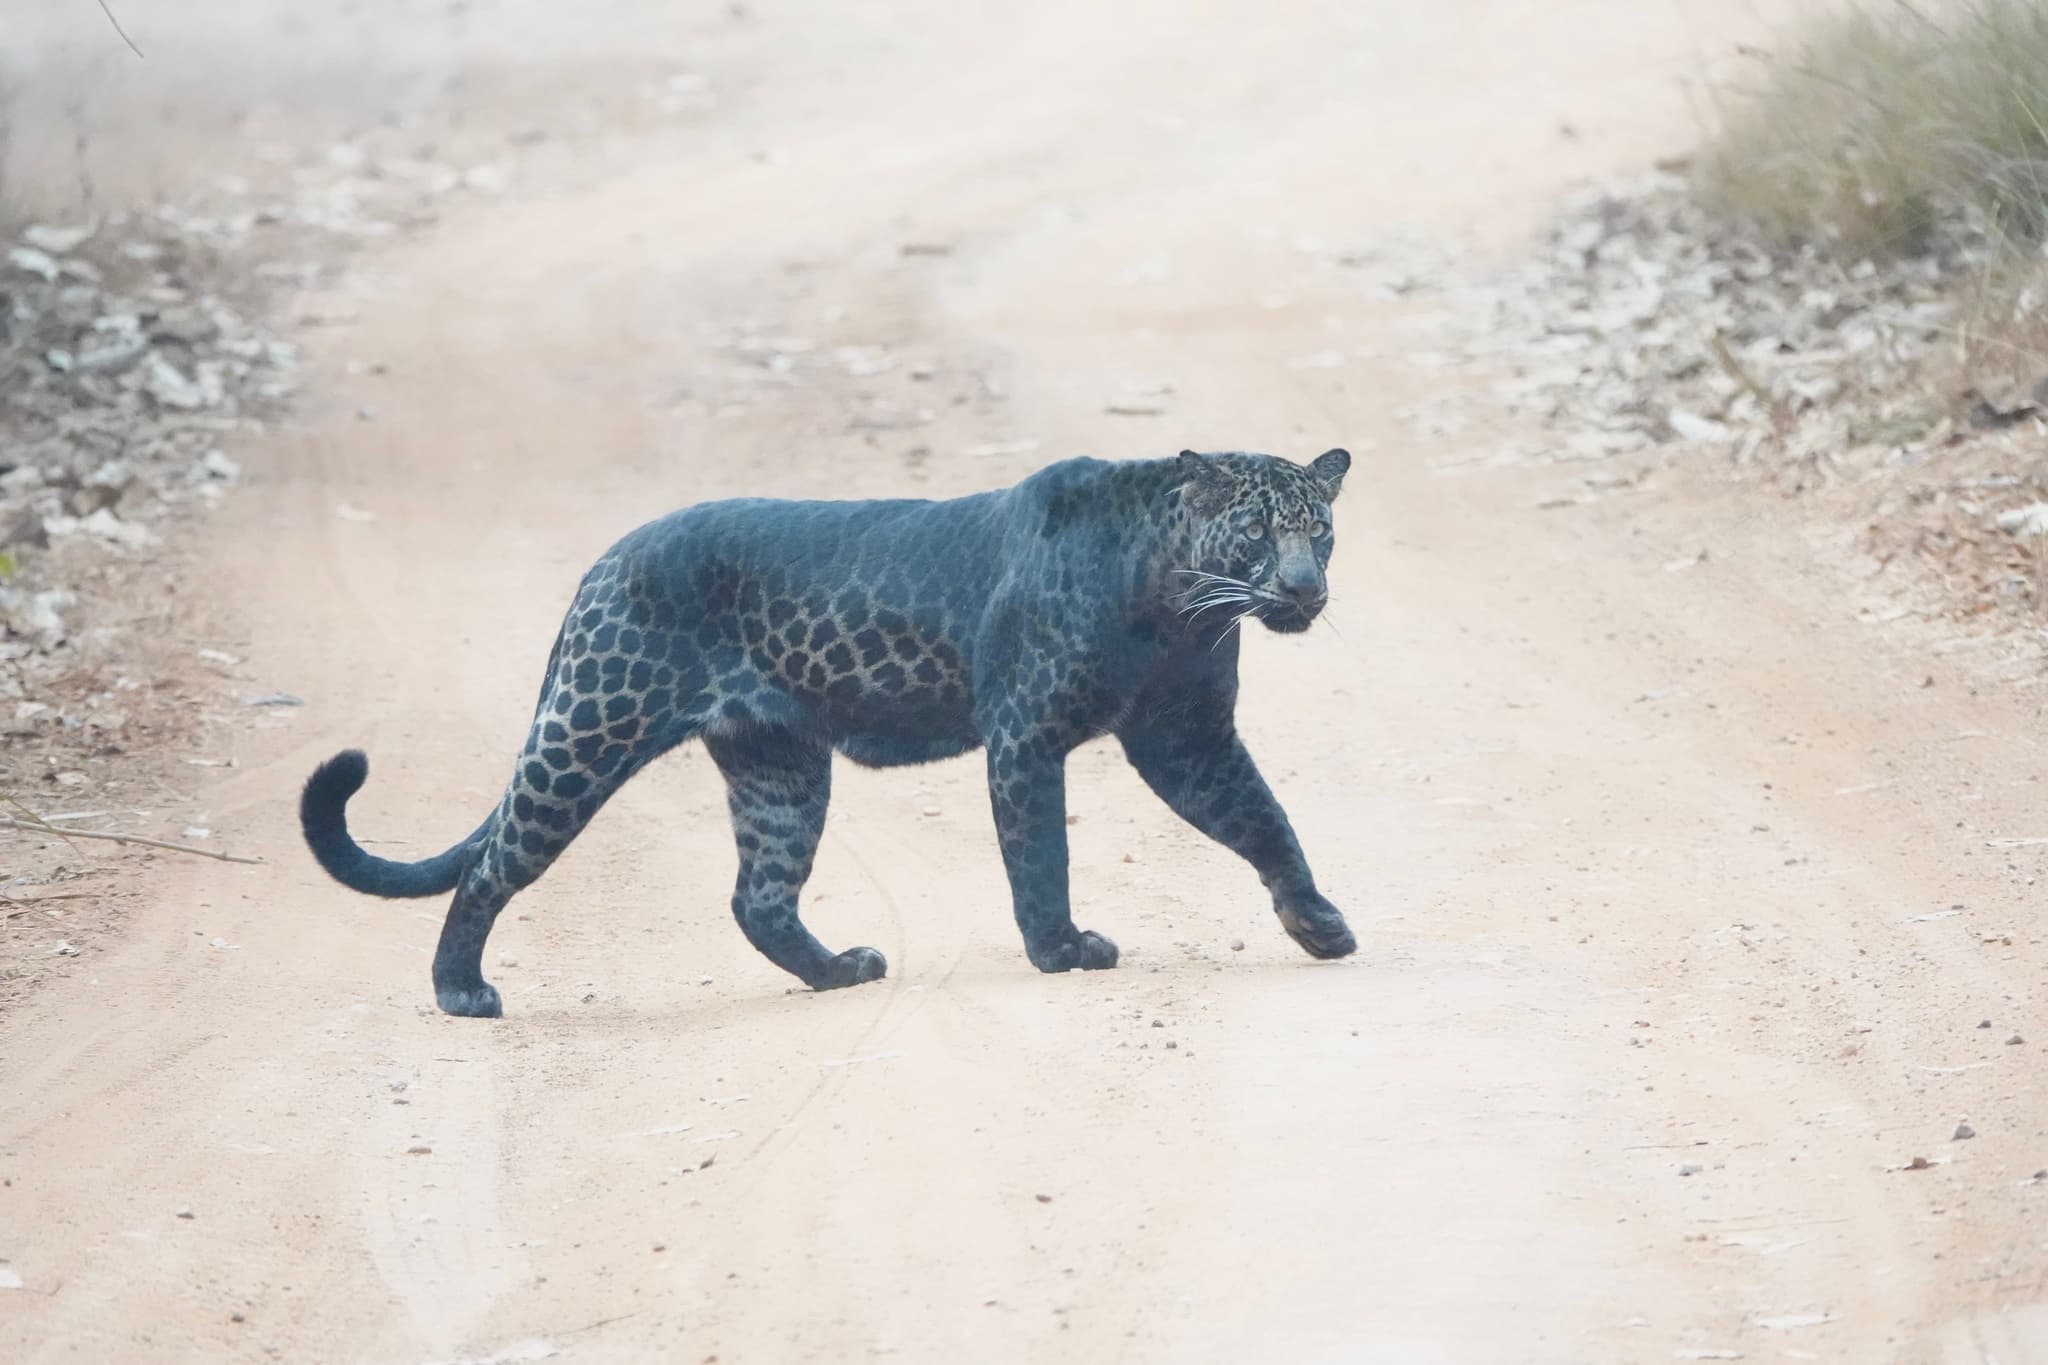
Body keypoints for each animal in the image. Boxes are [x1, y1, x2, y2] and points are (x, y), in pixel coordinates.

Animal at [300, 447, 1358, 1017]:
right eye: (1258, 533)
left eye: (1321, 531)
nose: (1304, 589)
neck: (1173, 604)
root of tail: (603, 560)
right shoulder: (1028, 733)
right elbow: (1040, 855)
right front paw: (1062, 949)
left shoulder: (1186, 735)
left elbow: (1263, 818)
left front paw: (1316, 922)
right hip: (591, 726)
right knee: (492, 863)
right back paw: (460, 991)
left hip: (780, 768)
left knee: (757, 897)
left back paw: (838, 971)